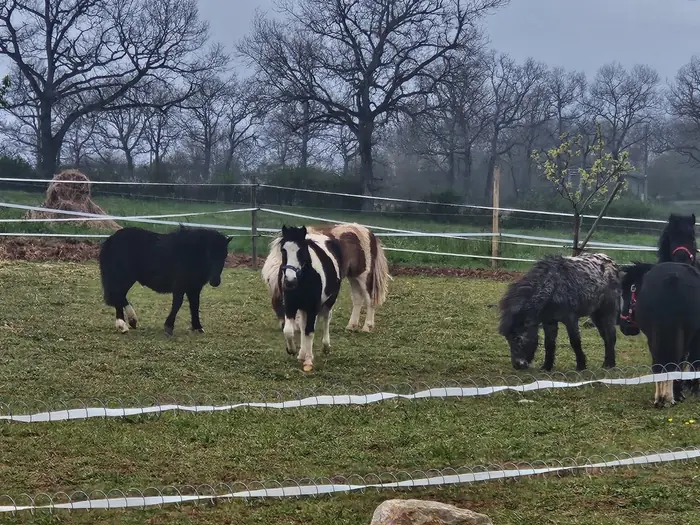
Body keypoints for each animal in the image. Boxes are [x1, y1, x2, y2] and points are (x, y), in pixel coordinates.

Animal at [99, 225, 232, 336]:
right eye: (208, 253)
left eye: (225, 255)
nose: (215, 281)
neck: (190, 253)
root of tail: (111, 239)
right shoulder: (180, 285)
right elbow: (177, 304)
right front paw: (169, 326)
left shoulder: (194, 288)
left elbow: (194, 305)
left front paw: (198, 327)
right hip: (124, 277)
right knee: (118, 295)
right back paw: (126, 322)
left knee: (119, 297)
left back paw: (127, 323)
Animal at [262, 222, 391, 332]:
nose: (283, 325)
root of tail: (369, 233)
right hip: (353, 277)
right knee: (357, 298)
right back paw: (351, 326)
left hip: (364, 277)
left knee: (370, 300)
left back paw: (367, 327)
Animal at [276, 225, 343, 372]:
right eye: (283, 250)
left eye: (301, 251)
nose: (289, 281)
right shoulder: (290, 305)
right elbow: (289, 330)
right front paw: (292, 350)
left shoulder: (313, 307)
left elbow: (310, 331)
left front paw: (308, 362)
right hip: (303, 307)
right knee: (303, 326)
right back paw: (301, 354)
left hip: (329, 301)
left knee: (325, 318)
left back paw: (325, 347)